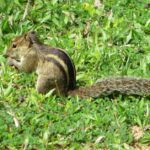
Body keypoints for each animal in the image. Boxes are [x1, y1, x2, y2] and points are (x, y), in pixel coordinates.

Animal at [4, 30, 150, 98]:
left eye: (14, 45)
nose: (5, 53)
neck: (34, 46)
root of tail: (67, 90)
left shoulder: (31, 58)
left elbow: (25, 69)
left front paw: (10, 60)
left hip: (44, 81)